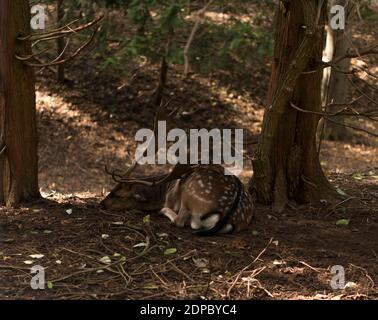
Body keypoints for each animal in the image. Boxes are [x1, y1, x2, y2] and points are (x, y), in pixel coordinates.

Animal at [100, 102, 254, 235]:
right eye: (112, 189)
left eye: (119, 196)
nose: (102, 204)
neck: (164, 190)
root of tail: (228, 214)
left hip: (190, 193)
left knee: (180, 221)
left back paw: (164, 210)